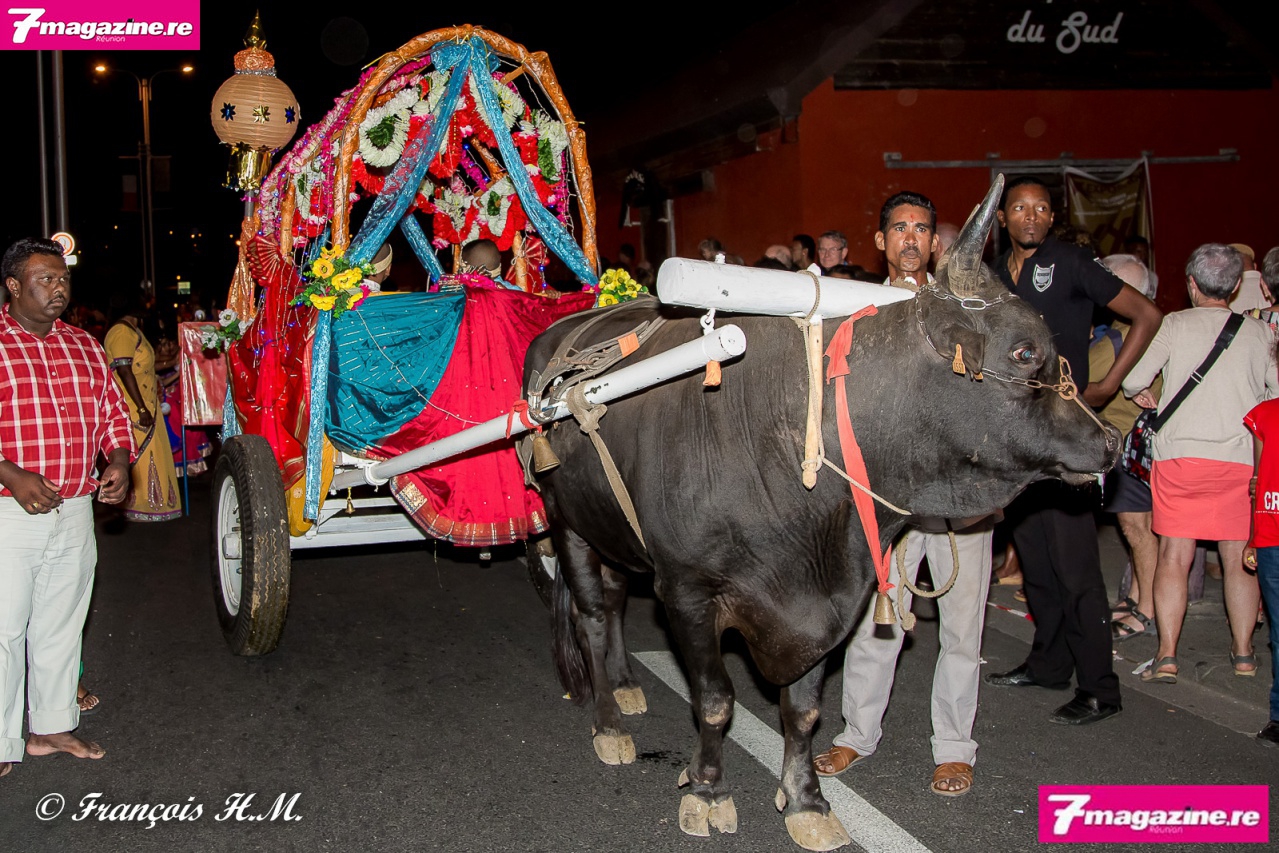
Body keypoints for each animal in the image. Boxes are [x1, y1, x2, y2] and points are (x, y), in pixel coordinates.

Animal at [521, 177, 1120, 850]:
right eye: (1023, 352)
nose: (1111, 442)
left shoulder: (829, 602)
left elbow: (803, 710)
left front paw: (806, 800)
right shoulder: (688, 591)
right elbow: (716, 700)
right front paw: (706, 791)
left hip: (613, 532)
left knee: (618, 598)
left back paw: (626, 687)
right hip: (566, 523)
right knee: (594, 618)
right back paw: (608, 724)